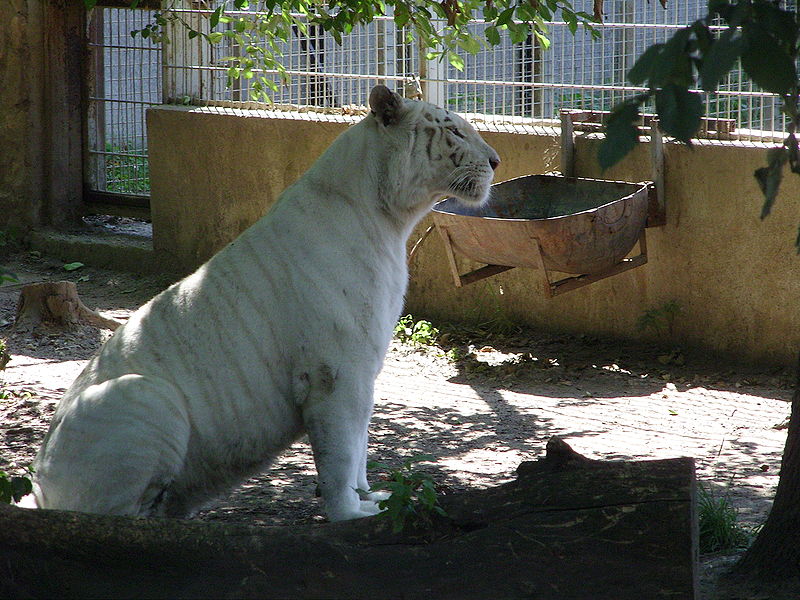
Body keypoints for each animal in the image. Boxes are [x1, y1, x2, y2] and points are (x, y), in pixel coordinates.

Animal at [31, 86, 500, 524]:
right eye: (455, 130)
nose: (496, 161)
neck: (391, 220)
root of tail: (39, 487)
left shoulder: (365, 367)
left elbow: (361, 442)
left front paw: (372, 496)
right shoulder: (335, 370)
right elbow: (341, 453)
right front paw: (351, 513)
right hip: (144, 394)